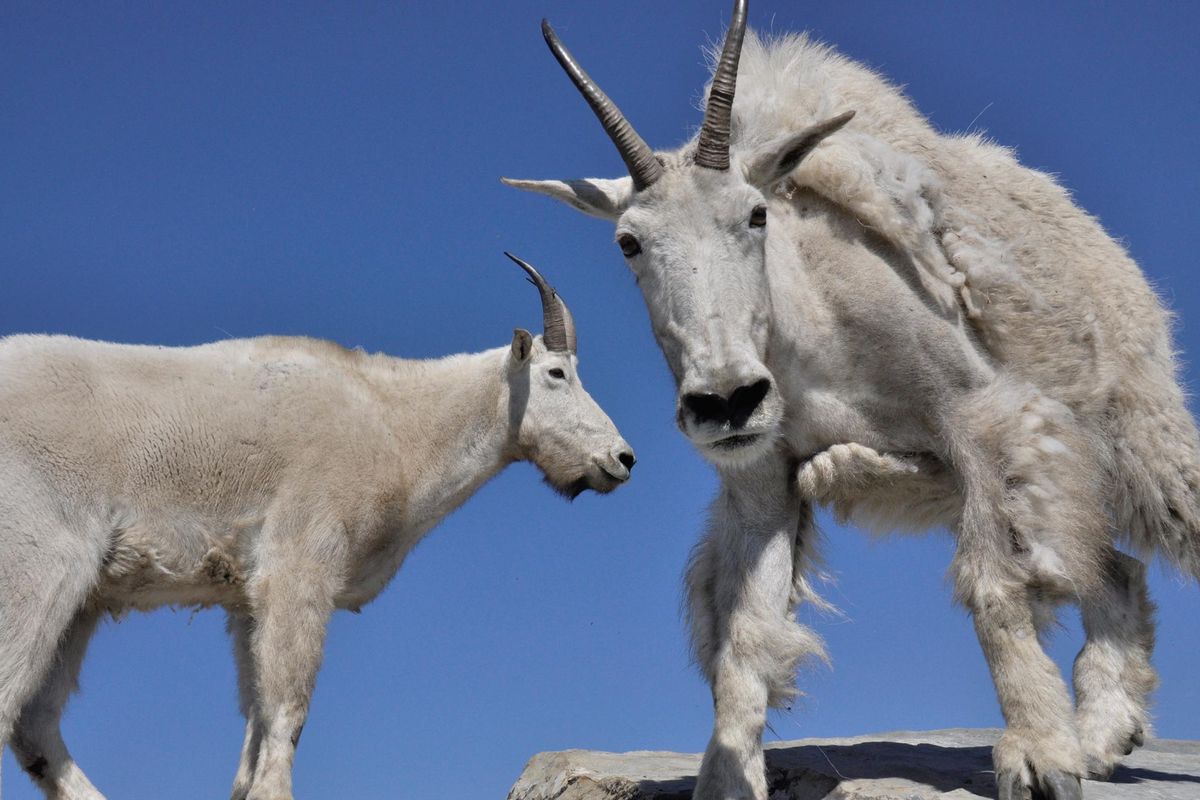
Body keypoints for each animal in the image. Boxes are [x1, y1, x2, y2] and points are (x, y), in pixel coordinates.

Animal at [0, 255, 638, 800]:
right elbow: (288, 708)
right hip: (38, 565)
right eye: (556, 373)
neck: (395, 422)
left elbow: (257, 714)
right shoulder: (300, 564)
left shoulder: (245, 596)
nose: (622, 458)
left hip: (83, 600)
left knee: (35, 723)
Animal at [506, 1, 1200, 800]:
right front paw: (727, 779)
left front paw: (1037, 755)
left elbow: (995, 588)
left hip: (1140, 439)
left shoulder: (983, 421)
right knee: (1112, 566)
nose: (727, 399)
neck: (810, 333)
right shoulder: (762, 480)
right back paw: (1104, 732)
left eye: (756, 214)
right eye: (629, 242)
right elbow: (746, 636)